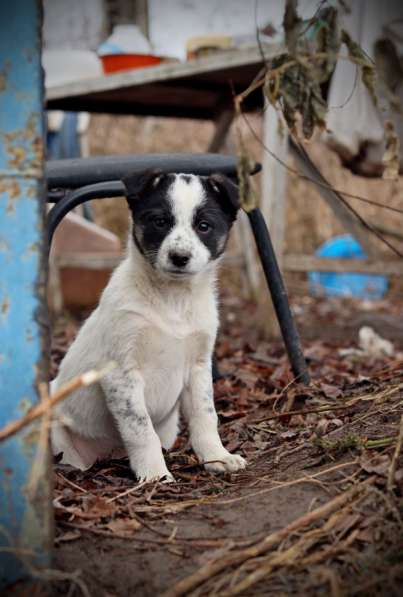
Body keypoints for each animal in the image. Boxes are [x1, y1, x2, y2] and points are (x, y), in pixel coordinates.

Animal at [50, 169, 246, 480]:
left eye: (204, 226)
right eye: (160, 221)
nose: (180, 258)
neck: (173, 300)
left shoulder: (199, 366)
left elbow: (206, 416)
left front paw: (217, 457)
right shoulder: (121, 372)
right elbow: (140, 429)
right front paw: (155, 475)